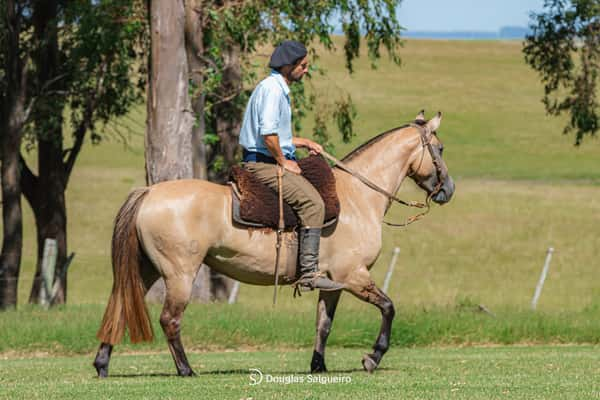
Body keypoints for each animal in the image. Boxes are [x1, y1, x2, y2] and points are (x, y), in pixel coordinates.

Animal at [94, 111, 454, 376]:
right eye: (439, 148)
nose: (448, 190)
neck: (357, 196)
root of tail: (148, 192)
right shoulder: (354, 276)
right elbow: (389, 307)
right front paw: (372, 357)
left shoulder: (332, 283)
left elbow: (323, 325)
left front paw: (318, 366)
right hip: (179, 274)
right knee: (170, 319)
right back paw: (186, 370)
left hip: (147, 269)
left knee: (120, 307)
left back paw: (102, 364)